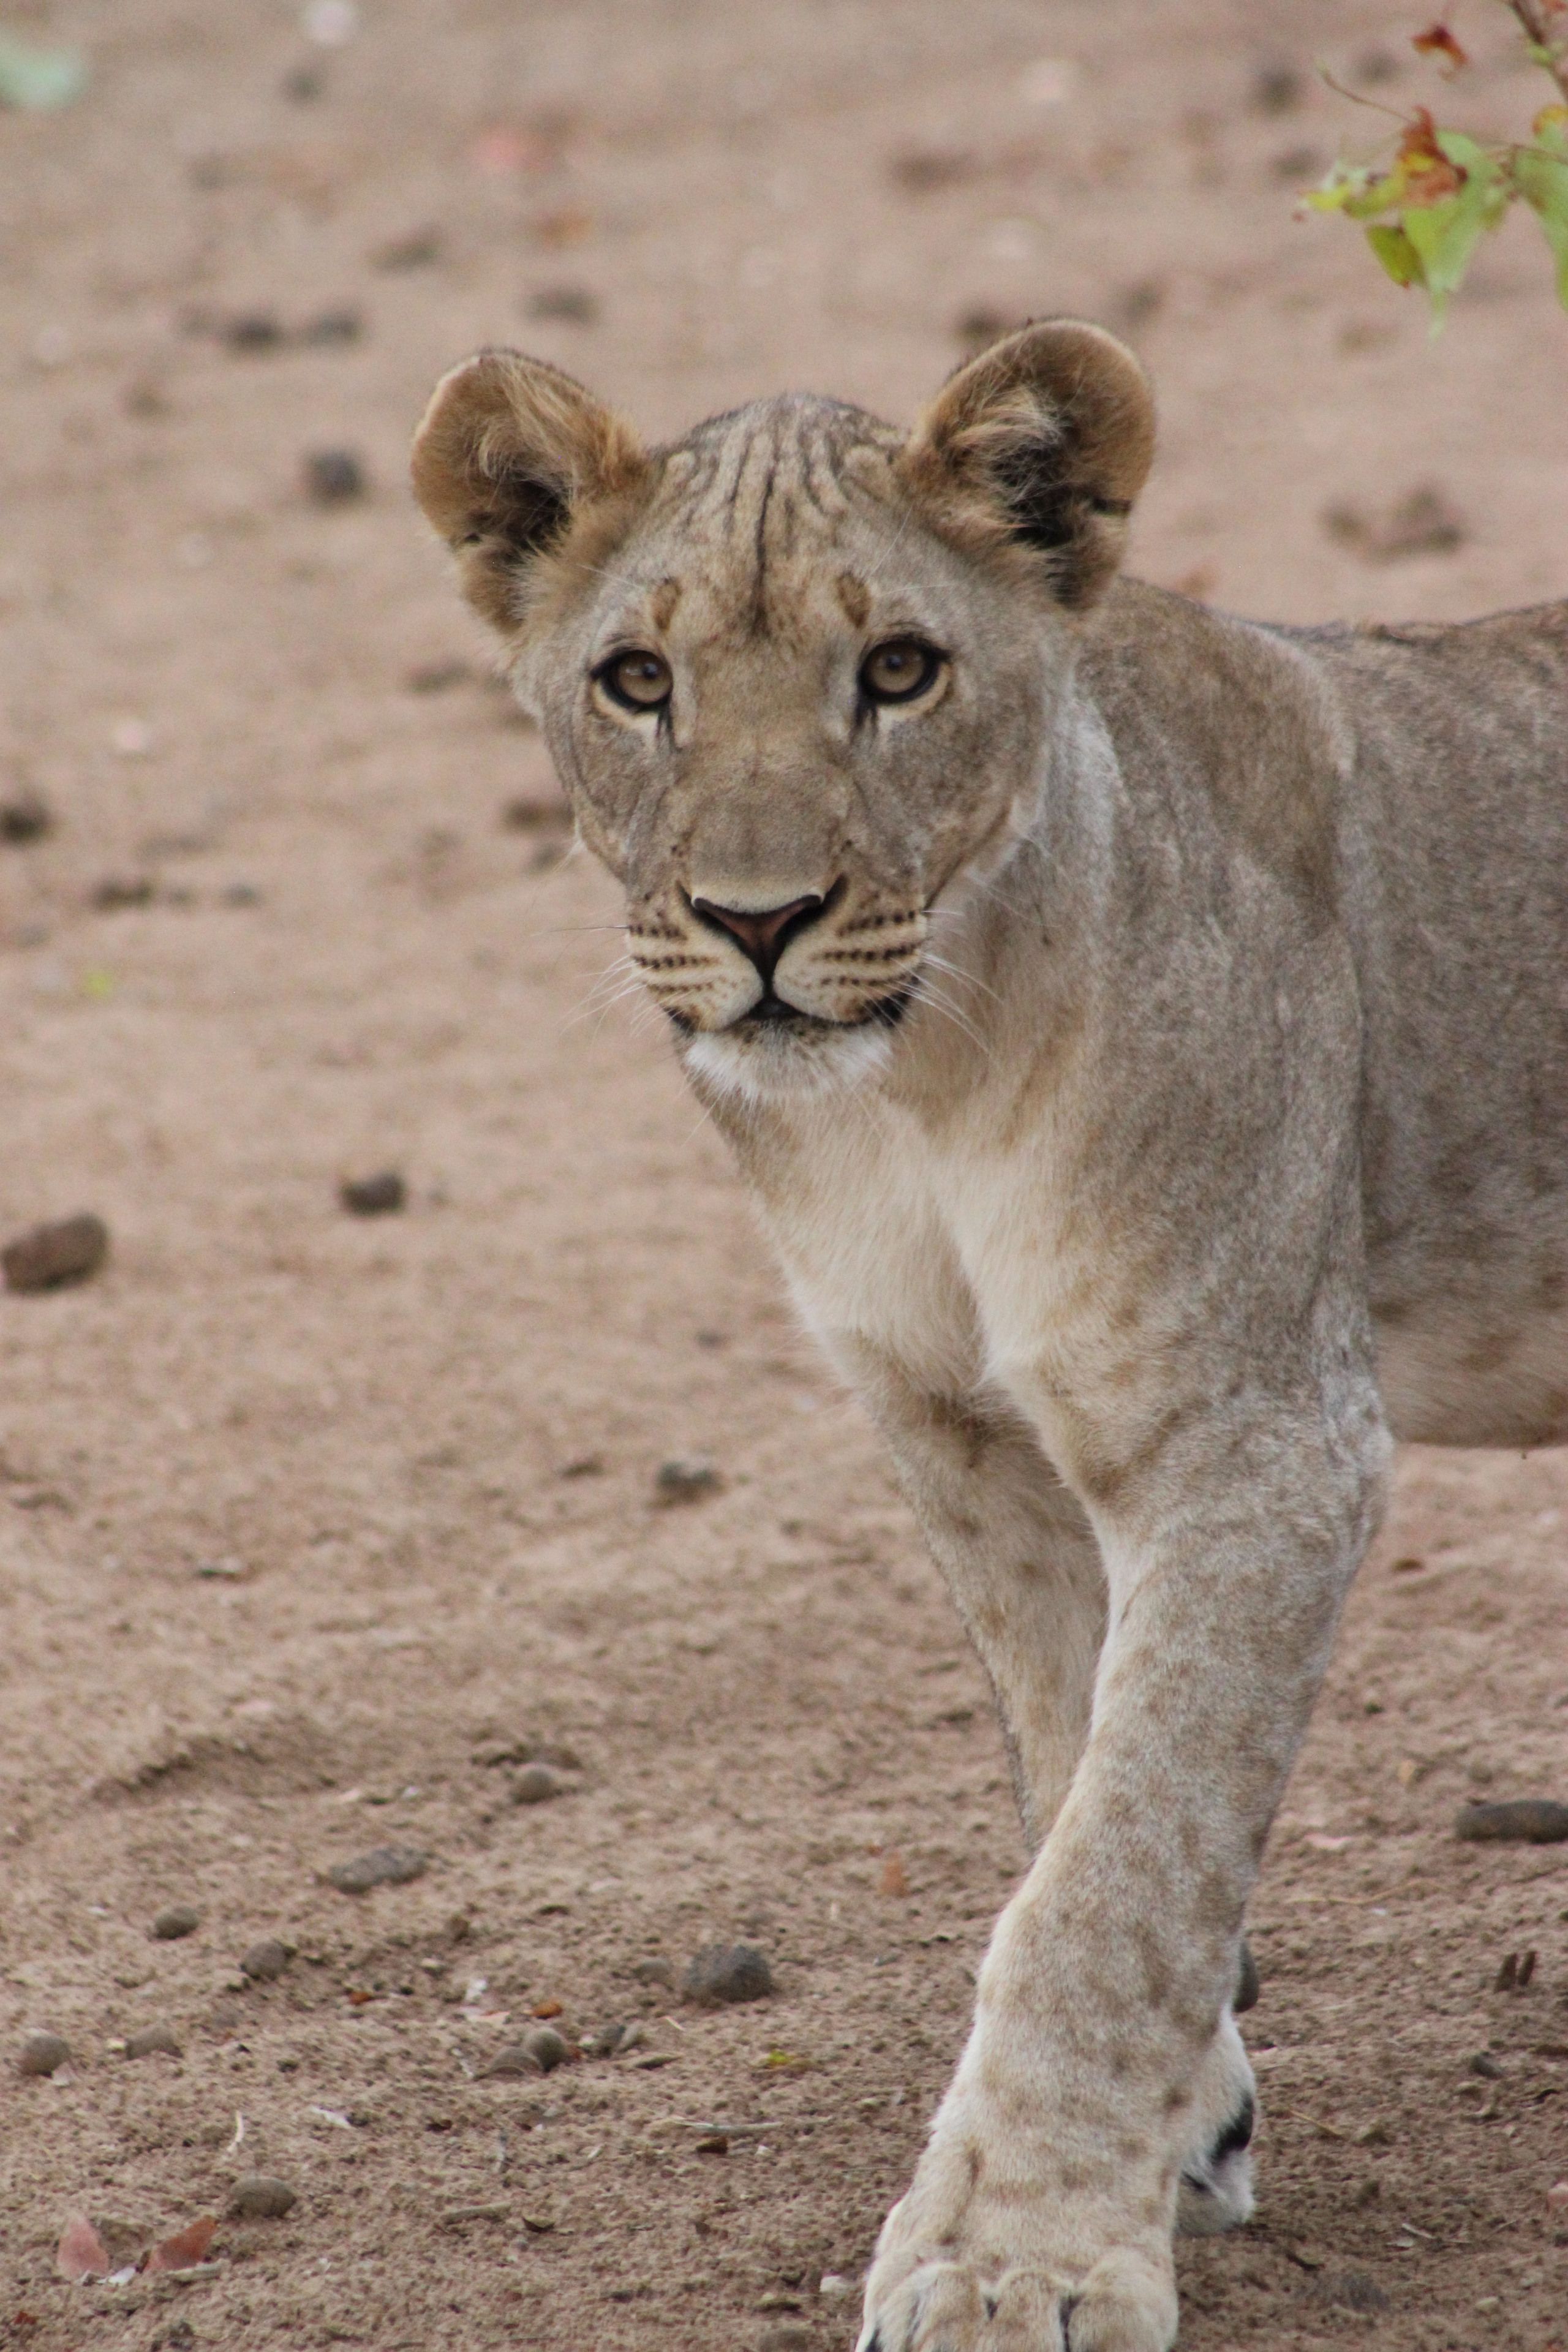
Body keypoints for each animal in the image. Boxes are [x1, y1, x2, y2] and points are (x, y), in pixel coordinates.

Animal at [411, 321, 1568, 2351]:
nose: (758, 922)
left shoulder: (1258, 1441)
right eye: (637, 681)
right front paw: (1182, 2121)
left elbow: (1115, 1864)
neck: (911, 1091)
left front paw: (1018, 2251)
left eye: (899, 669)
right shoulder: (960, 1435)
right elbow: (1069, 1763)